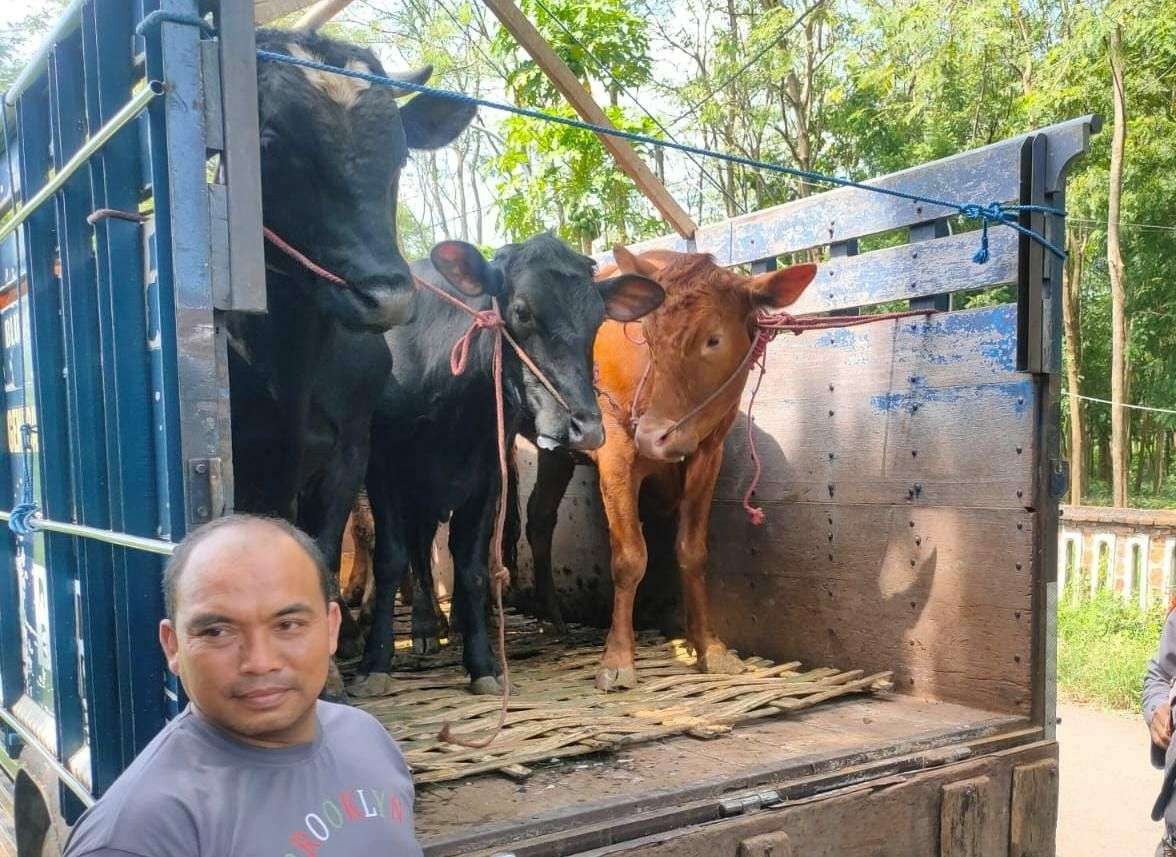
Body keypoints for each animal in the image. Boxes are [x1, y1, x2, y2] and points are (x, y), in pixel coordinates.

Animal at [350, 233, 663, 695]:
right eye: (521, 311)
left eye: (596, 319)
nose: (586, 427)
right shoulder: (385, 466)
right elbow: (389, 557)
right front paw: (375, 663)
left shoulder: (487, 475)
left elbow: (472, 567)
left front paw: (483, 664)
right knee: (413, 550)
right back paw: (424, 626)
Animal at [529, 245, 813, 686]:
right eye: (648, 336)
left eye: (713, 339)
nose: (652, 436)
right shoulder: (615, 452)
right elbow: (629, 557)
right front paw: (618, 658)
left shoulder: (708, 453)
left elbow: (692, 551)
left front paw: (709, 646)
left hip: (554, 453)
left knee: (537, 518)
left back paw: (552, 618)